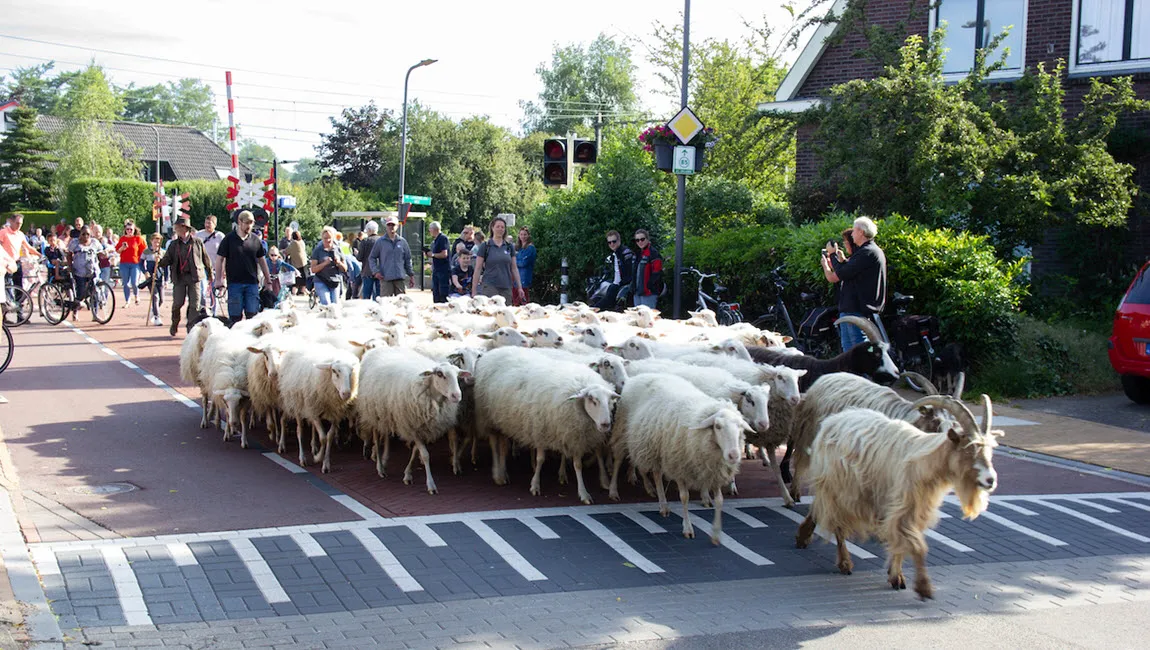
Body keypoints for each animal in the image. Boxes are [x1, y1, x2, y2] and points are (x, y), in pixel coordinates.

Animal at [795, 391, 1002, 598]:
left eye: (990, 450)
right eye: (968, 449)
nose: (990, 480)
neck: (926, 460)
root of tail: (831, 421)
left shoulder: (913, 507)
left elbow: (902, 543)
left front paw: (897, 576)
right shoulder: (903, 505)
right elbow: (916, 545)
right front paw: (922, 587)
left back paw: (804, 535)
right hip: (841, 488)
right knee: (837, 522)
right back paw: (844, 562)